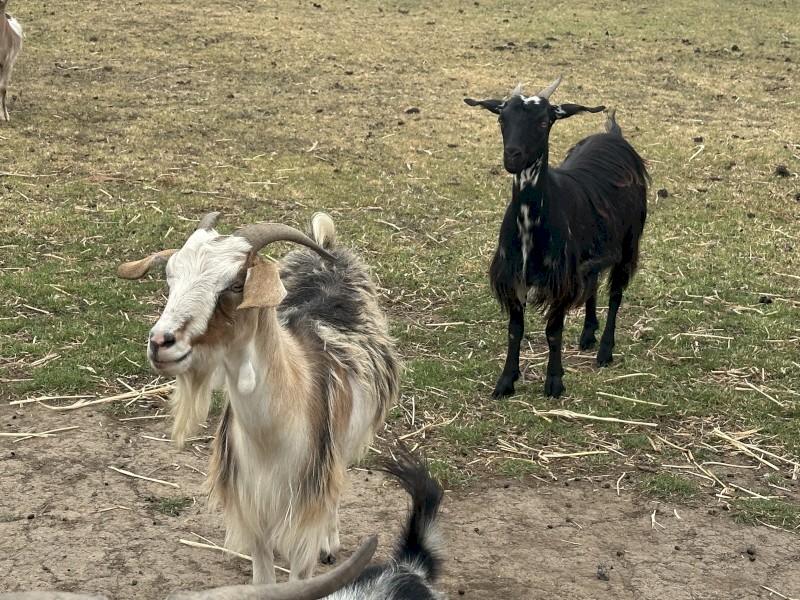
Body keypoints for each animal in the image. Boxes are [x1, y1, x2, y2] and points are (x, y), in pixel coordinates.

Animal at [118, 212, 401, 584]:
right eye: (170, 278)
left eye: (236, 284)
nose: (161, 342)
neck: (271, 436)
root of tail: (327, 248)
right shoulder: (251, 506)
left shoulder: (304, 508)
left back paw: (329, 543)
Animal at [465, 75, 649, 398]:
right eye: (501, 118)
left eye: (543, 122)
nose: (512, 156)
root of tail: (613, 136)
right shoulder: (514, 276)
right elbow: (515, 330)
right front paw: (506, 381)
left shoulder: (560, 279)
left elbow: (553, 331)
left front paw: (554, 381)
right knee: (593, 284)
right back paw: (588, 334)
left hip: (629, 243)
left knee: (615, 294)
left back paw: (604, 351)